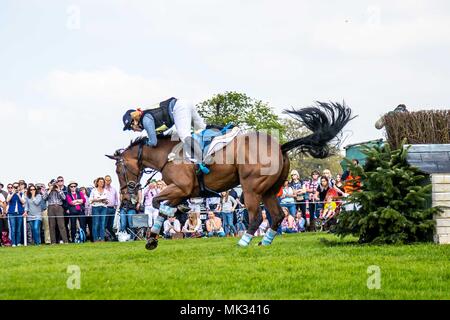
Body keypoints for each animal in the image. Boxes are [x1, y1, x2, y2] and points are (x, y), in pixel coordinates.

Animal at [107, 101, 354, 249]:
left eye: (119, 170)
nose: (127, 197)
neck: (166, 155)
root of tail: (280, 147)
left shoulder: (180, 188)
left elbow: (158, 203)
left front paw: (157, 231)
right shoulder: (180, 191)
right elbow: (164, 208)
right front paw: (152, 239)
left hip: (251, 188)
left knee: (256, 217)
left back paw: (243, 243)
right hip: (270, 190)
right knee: (276, 217)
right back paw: (264, 243)